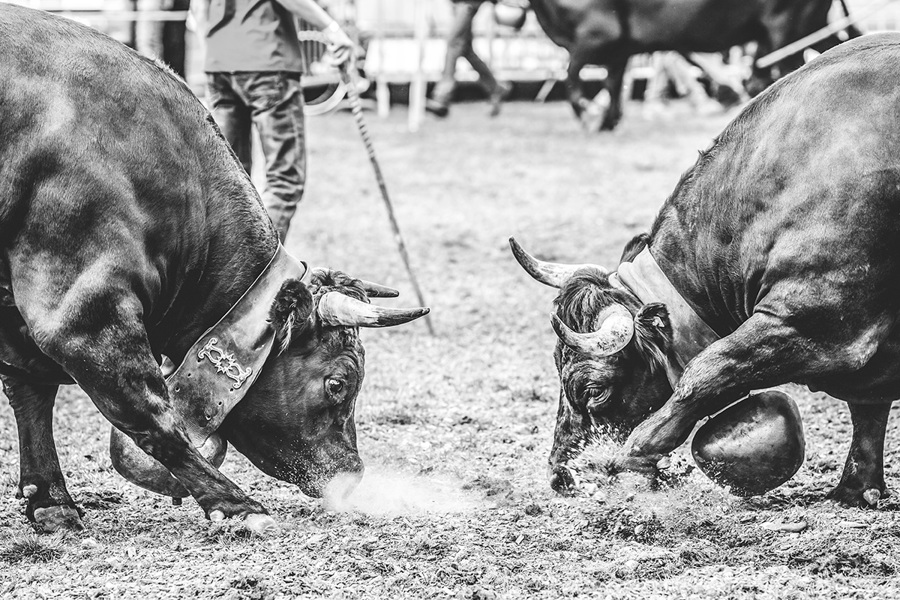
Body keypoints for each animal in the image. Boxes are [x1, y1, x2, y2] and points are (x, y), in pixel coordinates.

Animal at [512, 34, 900, 506]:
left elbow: (706, 371)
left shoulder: (814, 320)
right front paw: (855, 490)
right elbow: (868, 412)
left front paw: (629, 462)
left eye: (594, 389)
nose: (560, 475)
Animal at [532, 0, 860, 130]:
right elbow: (613, 84)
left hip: (786, 27)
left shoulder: (595, 37)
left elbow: (571, 78)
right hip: (812, 24)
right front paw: (607, 121)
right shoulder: (618, 49)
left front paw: (588, 115)